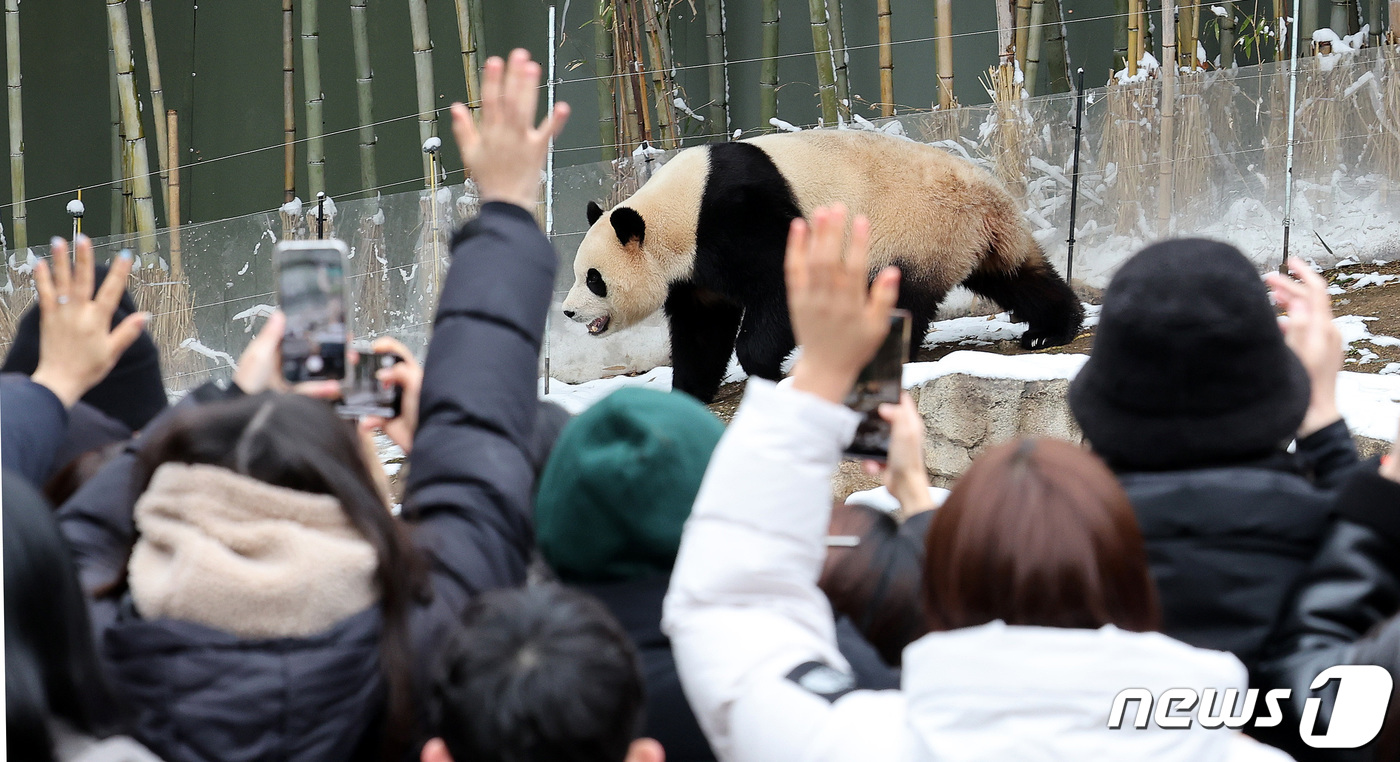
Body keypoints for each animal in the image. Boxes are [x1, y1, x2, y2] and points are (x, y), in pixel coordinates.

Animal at [562, 129, 1086, 403]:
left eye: (594, 279)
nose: (567, 312)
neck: (678, 214)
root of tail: (991, 196)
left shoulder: (739, 217)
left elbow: (781, 288)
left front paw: (767, 371)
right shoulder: (695, 271)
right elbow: (701, 327)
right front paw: (689, 390)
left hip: (918, 230)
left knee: (900, 298)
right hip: (963, 238)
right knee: (1015, 275)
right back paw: (1050, 329)